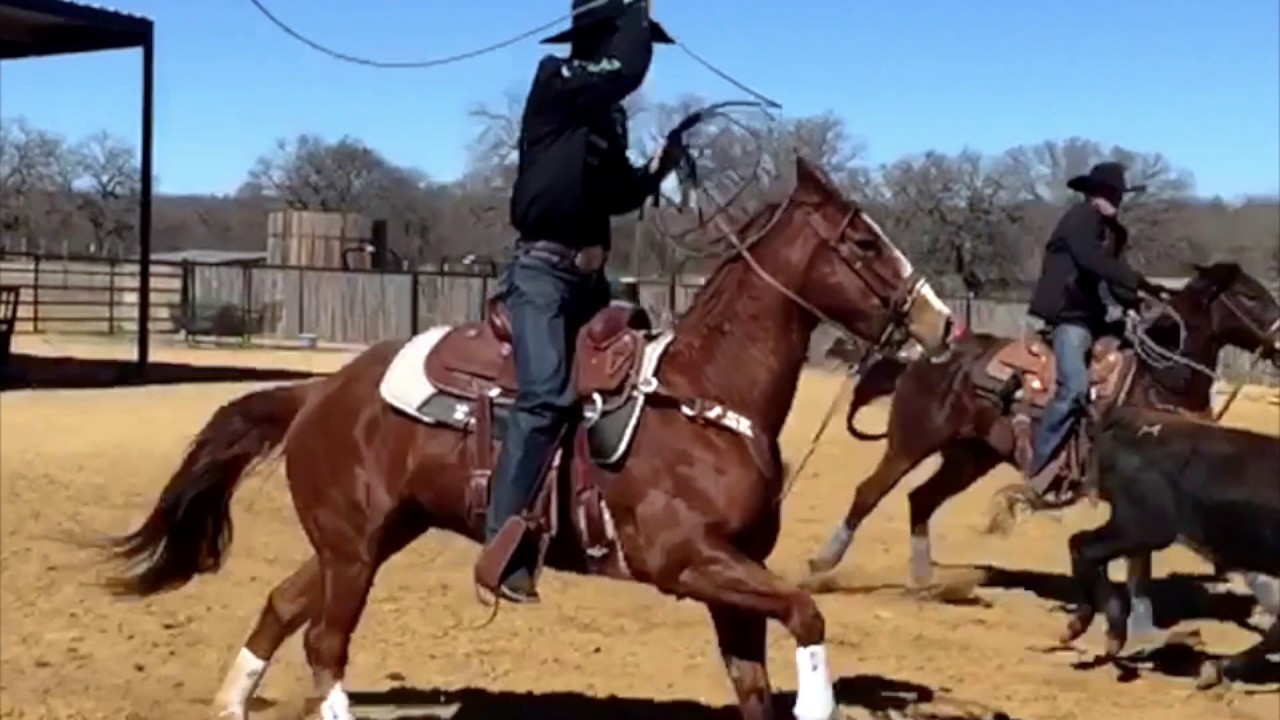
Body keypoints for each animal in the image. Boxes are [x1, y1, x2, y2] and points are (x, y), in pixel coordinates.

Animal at [87, 156, 955, 720]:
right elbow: (807, 614)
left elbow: (752, 684)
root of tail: (320, 391)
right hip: (355, 549)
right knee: (326, 645)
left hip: (364, 540)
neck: (704, 397)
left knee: (282, 606)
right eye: (864, 243)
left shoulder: (733, 573)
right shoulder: (686, 562)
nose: (942, 322)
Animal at [805, 262, 1280, 632]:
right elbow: (1169, 556)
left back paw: (925, 582)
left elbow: (1154, 559)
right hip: (911, 443)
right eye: (1253, 296)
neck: (1160, 381)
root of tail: (926, 357)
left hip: (969, 457)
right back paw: (823, 563)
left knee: (921, 499)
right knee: (869, 492)